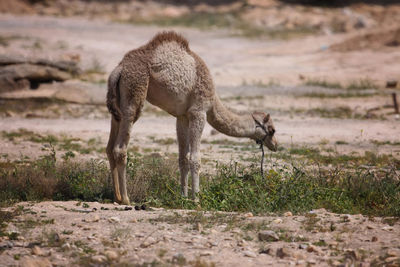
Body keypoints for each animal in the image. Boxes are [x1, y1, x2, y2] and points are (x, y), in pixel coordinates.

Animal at [105, 31, 278, 204]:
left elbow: (183, 158)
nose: (276, 145)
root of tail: (119, 69)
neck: (213, 102)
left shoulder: (182, 117)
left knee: (110, 146)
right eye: (272, 130)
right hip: (135, 90)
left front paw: (183, 196)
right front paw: (197, 199)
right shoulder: (198, 112)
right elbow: (195, 159)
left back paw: (116, 196)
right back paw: (126, 198)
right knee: (120, 148)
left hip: (119, 104)